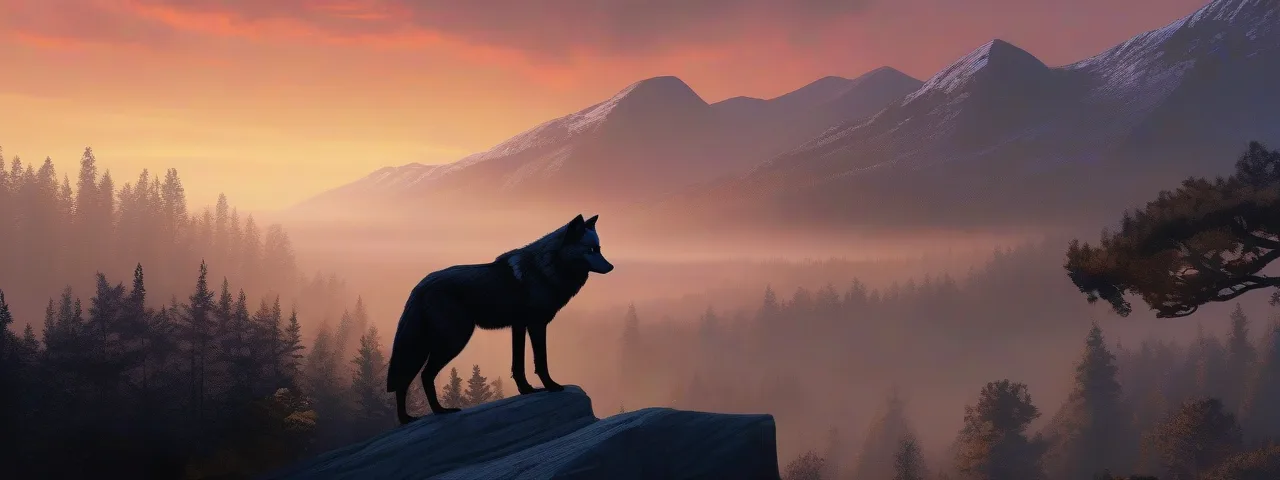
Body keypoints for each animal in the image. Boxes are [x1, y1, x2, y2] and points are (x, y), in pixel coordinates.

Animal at [386, 214, 614, 424]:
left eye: (599, 249)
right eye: (591, 250)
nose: (611, 267)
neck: (546, 268)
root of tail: (420, 286)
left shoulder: (519, 326)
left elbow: (518, 364)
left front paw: (527, 390)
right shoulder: (537, 325)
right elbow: (541, 361)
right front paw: (551, 386)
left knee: (406, 378)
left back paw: (407, 418)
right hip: (453, 340)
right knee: (423, 375)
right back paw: (438, 411)